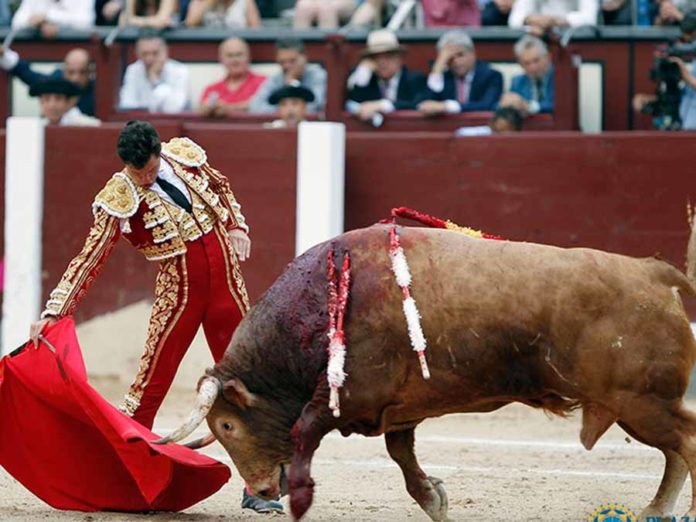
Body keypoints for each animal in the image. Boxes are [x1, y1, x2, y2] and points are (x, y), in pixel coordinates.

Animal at [160, 223, 696, 520]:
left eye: (228, 425)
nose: (262, 490)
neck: (319, 305)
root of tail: (654, 271)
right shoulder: (398, 409)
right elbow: (400, 454)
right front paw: (435, 499)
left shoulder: (346, 397)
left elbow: (305, 431)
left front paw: (299, 499)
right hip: (639, 408)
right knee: (676, 451)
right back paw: (655, 510)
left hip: (642, 404)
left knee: (685, 444)